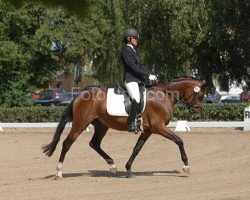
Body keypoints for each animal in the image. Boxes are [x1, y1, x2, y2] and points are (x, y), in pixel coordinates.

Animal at [43, 76, 207, 178]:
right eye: (200, 96)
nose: (196, 116)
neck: (163, 95)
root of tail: (80, 94)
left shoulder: (148, 130)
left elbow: (137, 148)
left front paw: (128, 169)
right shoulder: (158, 127)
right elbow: (179, 140)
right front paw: (186, 166)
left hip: (101, 125)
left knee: (94, 143)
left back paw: (112, 165)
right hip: (80, 124)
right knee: (67, 143)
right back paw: (59, 172)